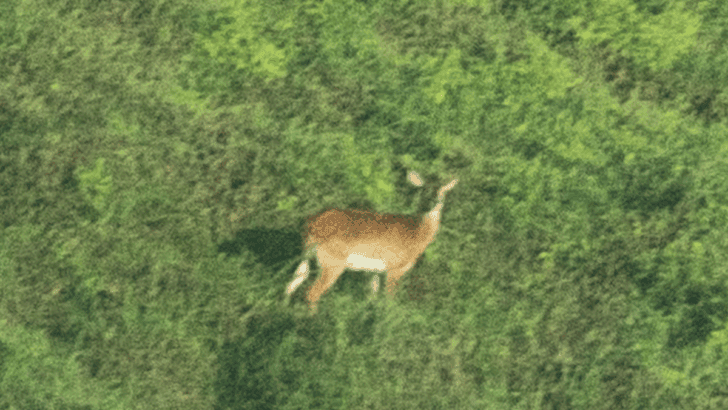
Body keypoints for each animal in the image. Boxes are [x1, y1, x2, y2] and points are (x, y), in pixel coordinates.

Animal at [286, 172, 458, 312]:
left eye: (443, 191)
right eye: (424, 190)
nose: (435, 202)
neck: (414, 235)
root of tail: (311, 223)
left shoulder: (375, 271)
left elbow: (372, 297)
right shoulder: (394, 268)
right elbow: (389, 300)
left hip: (307, 256)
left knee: (291, 284)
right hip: (332, 262)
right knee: (312, 292)